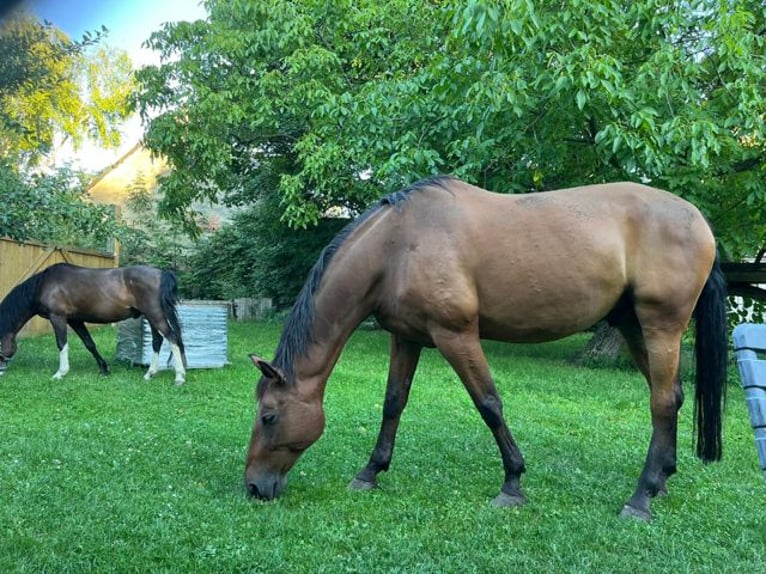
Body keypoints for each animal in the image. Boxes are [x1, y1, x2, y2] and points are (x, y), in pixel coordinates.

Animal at [0, 263, 187, 384]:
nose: (1, 371)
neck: (45, 284)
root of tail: (161, 274)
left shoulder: (58, 317)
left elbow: (62, 344)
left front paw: (60, 373)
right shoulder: (75, 320)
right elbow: (89, 343)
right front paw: (104, 368)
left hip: (155, 315)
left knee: (172, 338)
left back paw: (179, 376)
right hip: (150, 317)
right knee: (158, 341)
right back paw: (150, 374)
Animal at [244, 176, 728, 521]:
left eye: (269, 416)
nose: (253, 487)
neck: (397, 247)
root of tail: (699, 220)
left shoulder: (456, 336)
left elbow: (489, 405)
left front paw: (512, 484)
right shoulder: (408, 337)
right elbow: (393, 403)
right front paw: (370, 472)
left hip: (661, 326)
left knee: (661, 402)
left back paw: (640, 498)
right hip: (632, 326)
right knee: (671, 398)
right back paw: (661, 480)